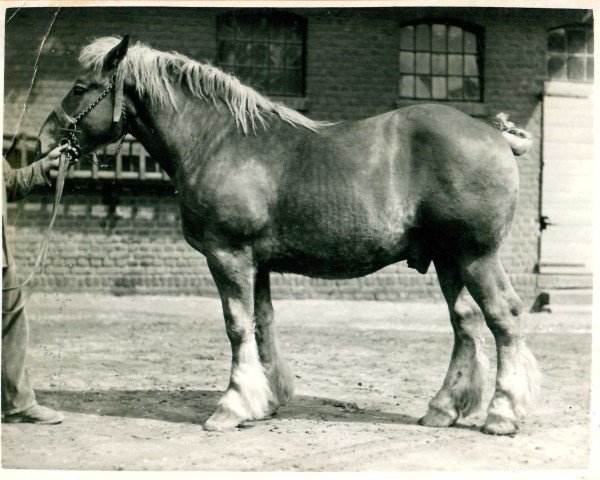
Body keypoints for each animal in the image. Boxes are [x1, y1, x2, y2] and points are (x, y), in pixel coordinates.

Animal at [36, 35, 540, 436]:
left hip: (475, 256)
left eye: (79, 88)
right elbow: (262, 323)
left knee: (504, 317)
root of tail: (494, 134)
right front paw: (267, 400)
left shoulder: (228, 255)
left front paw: (231, 406)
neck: (220, 141)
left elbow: (237, 326)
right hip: (447, 259)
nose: (45, 141)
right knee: (465, 322)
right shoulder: (256, 263)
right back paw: (442, 410)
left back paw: (502, 414)